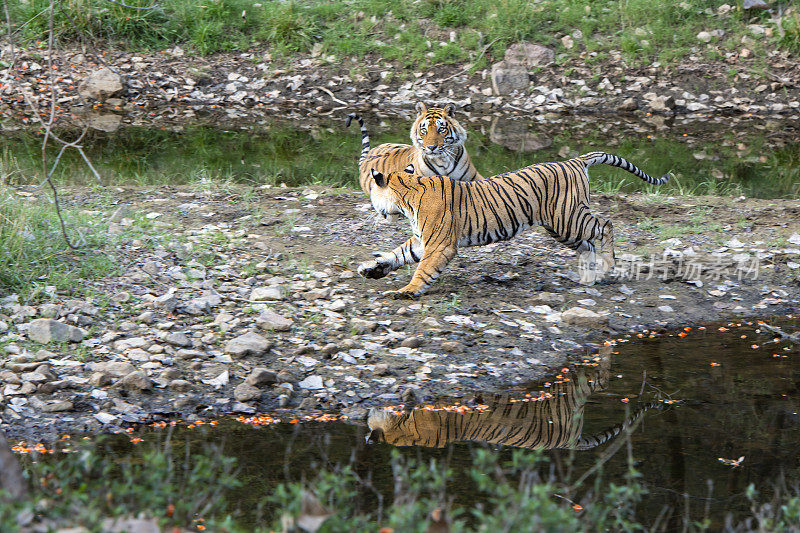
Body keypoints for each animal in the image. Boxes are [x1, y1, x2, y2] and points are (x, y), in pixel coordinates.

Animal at [346, 101, 482, 197]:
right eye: (424, 130)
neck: (443, 162)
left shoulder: (474, 177)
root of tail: (366, 157)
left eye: (441, 129)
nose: (431, 147)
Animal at [358, 151, 668, 296]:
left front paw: (406, 292)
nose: (372, 209)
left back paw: (606, 267)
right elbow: (398, 254)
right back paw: (587, 277)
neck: (407, 193)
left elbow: (422, 270)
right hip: (561, 228)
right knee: (588, 245)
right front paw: (372, 269)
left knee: (605, 225)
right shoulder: (423, 239)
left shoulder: (439, 244)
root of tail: (574, 160)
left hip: (567, 218)